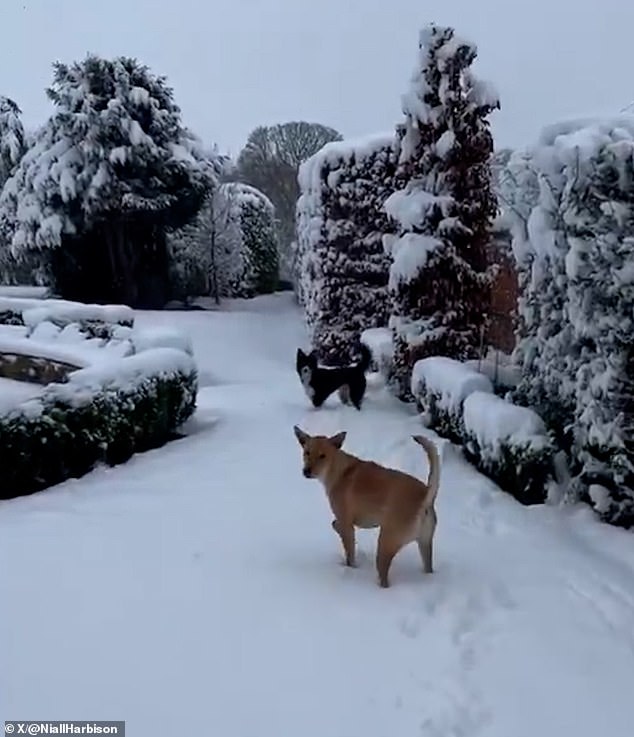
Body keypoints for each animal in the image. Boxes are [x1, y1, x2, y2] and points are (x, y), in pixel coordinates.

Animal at [292, 426, 436, 588]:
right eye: (307, 452)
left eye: (322, 456)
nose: (306, 471)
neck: (339, 469)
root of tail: (425, 497)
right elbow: (336, 525)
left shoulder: (346, 522)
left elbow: (349, 552)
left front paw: (350, 568)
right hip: (425, 544)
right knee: (428, 567)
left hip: (386, 543)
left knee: (384, 576)